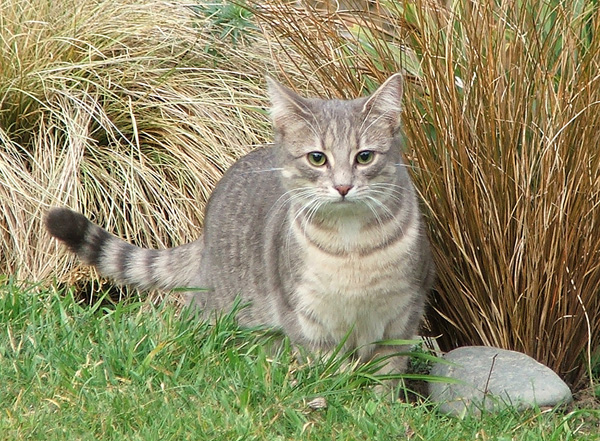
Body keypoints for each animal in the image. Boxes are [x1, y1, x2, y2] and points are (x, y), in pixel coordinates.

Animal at [45, 73, 432, 378]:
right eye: (317, 158)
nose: (342, 186)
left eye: (364, 157)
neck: (352, 249)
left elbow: (386, 376)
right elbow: (329, 372)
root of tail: (204, 235)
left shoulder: (402, 317)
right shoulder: (306, 319)